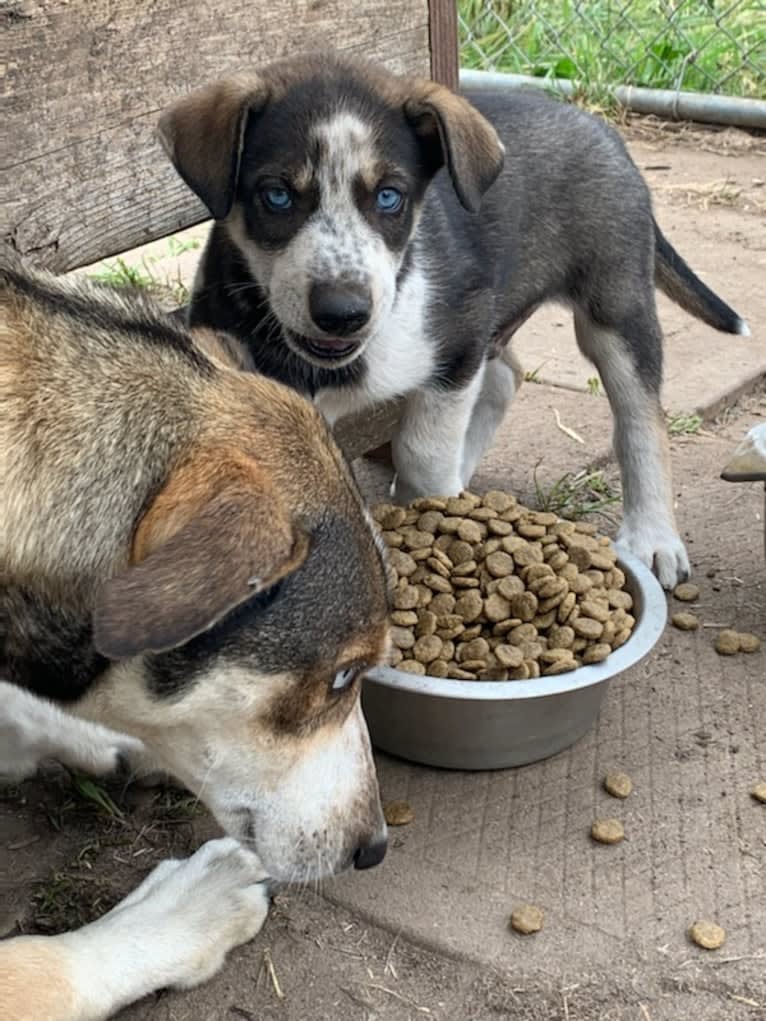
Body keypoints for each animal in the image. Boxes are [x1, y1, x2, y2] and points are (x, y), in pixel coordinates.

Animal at [157, 53, 751, 592]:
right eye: (277, 195)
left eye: (389, 197)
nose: (343, 312)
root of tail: (600, 127)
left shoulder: (456, 344)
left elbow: (421, 451)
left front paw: (431, 515)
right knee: (508, 373)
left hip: (615, 306)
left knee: (639, 417)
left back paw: (652, 537)